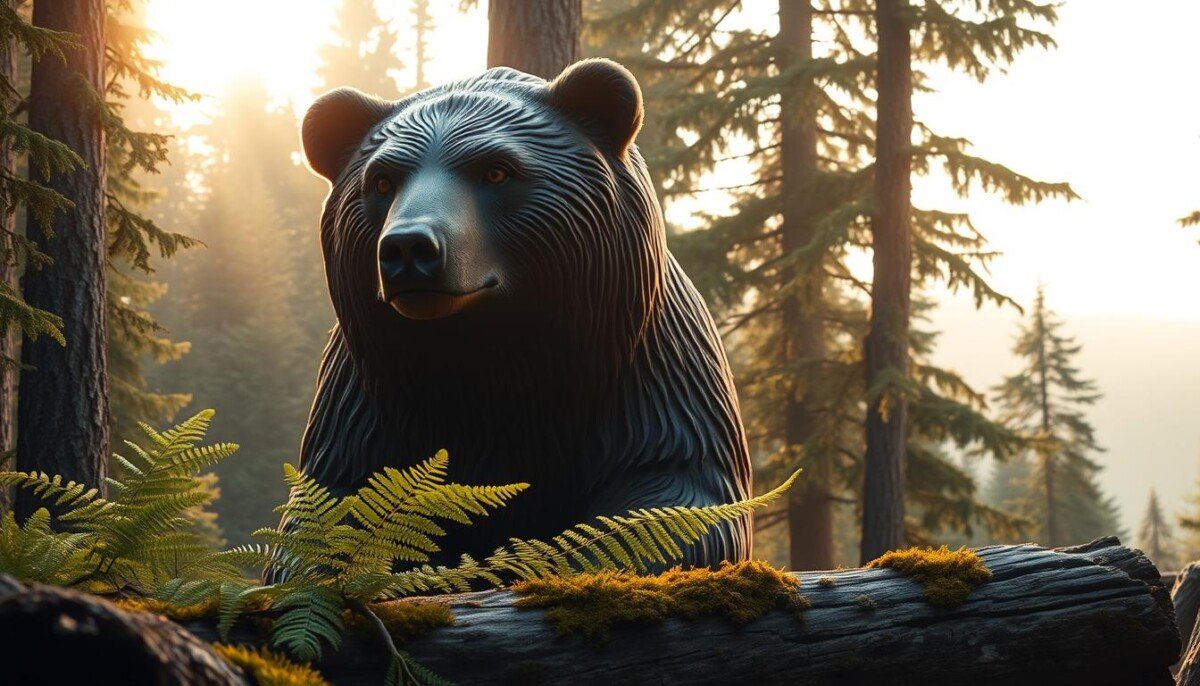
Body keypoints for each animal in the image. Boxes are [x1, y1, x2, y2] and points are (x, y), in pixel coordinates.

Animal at [295, 59, 752, 568]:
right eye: (381, 180)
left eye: (496, 171)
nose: (408, 247)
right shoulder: (362, 411)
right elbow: (330, 513)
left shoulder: (655, 384)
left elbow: (670, 507)